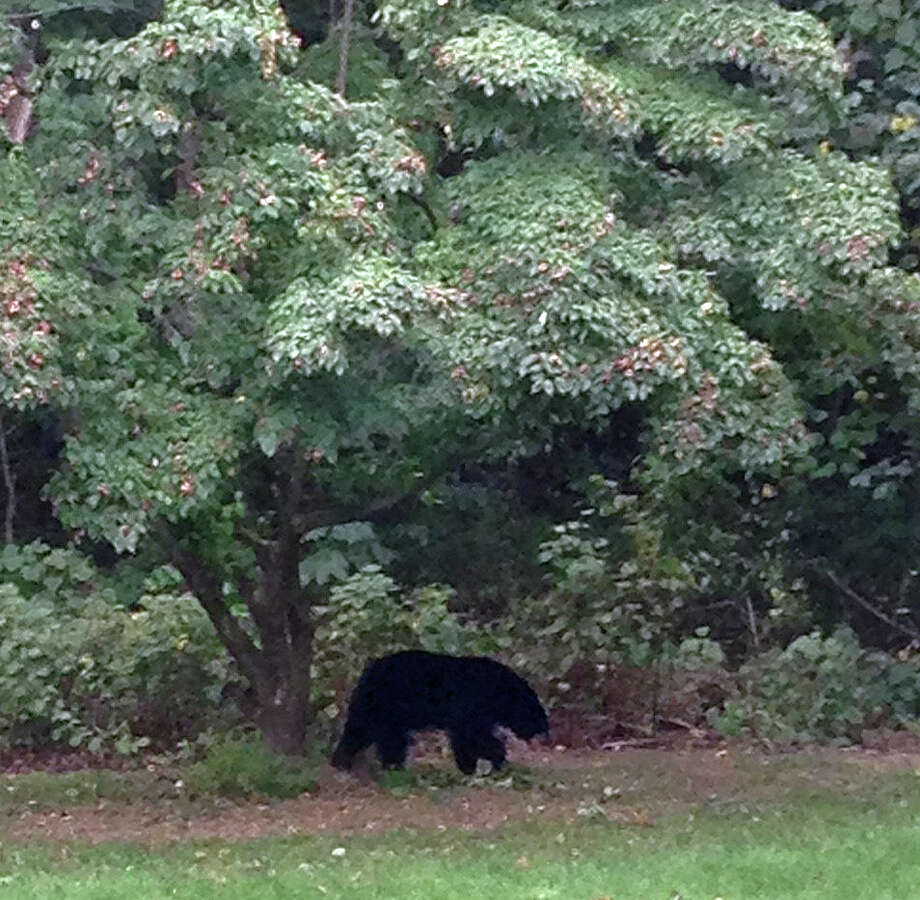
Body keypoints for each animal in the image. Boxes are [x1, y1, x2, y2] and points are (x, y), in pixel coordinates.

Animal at [330, 650, 549, 775]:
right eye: (537, 712)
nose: (545, 731)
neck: (499, 692)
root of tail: (368, 670)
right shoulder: (472, 703)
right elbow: (470, 734)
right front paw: (493, 759)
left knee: (364, 732)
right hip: (384, 705)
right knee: (380, 735)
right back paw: (387, 765)